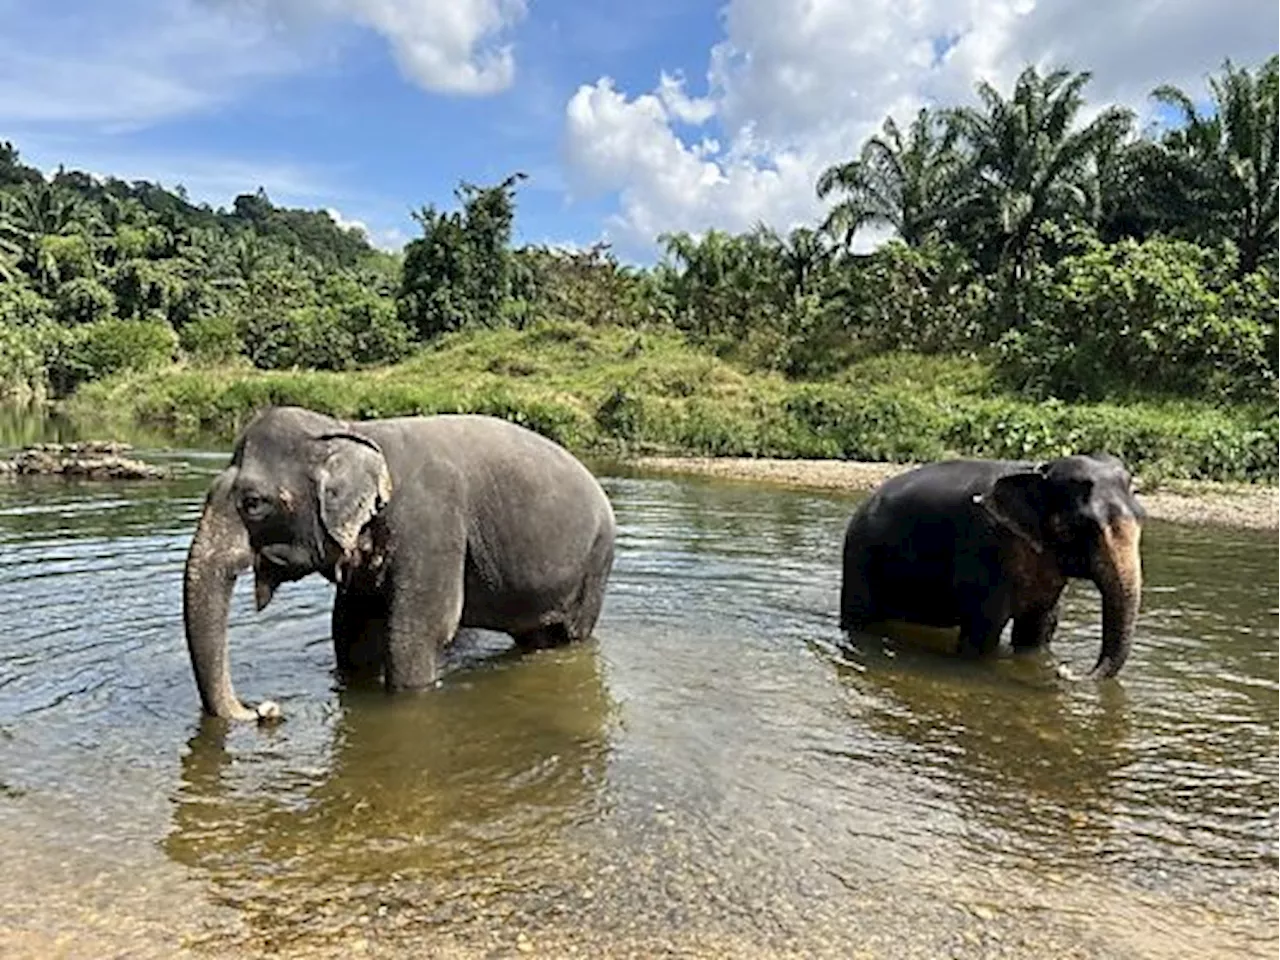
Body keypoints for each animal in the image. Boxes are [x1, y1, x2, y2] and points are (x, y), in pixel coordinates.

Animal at [183, 407, 616, 721]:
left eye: (253, 503)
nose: (264, 709)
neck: (347, 430)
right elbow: (350, 630)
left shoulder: (431, 526)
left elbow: (416, 633)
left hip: (594, 567)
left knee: (571, 635)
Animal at [844, 455, 1146, 680]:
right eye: (1077, 528)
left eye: (1142, 517)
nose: (1064, 669)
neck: (1038, 471)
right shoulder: (984, 549)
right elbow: (984, 631)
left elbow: (1037, 631)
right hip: (860, 556)